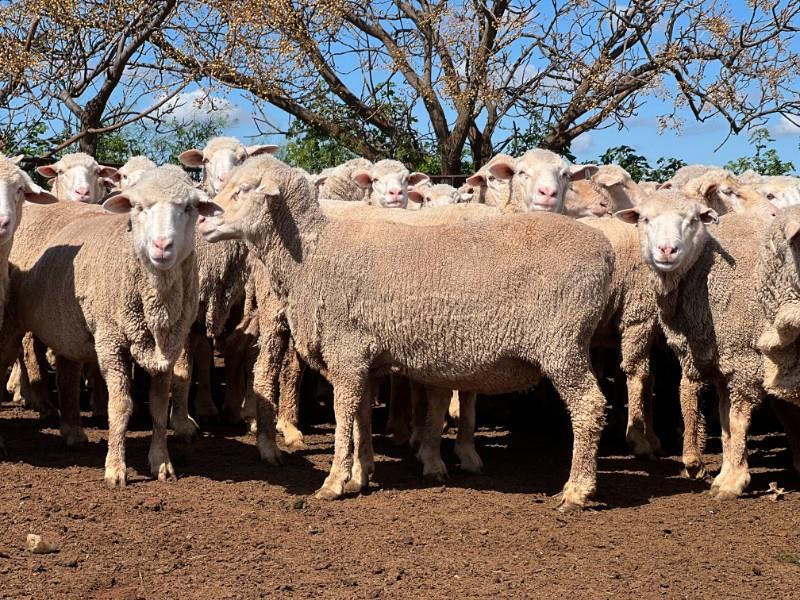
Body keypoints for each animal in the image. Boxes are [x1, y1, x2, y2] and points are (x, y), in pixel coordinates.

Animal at [0, 167, 222, 485]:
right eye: (138, 208)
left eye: (188, 208)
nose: (162, 246)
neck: (158, 302)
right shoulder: (111, 342)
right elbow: (121, 406)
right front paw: (116, 469)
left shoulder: (167, 348)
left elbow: (158, 406)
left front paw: (161, 462)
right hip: (13, 326)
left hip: (67, 326)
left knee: (67, 374)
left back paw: (73, 431)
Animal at [199, 156, 615, 511]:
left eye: (243, 190)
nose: (202, 223)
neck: (311, 253)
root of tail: (606, 251)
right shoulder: (366, 360)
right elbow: (361, 418)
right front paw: (361, 475)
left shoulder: (346, 352)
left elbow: (343, 414)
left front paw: (334, 482)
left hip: (562, 343)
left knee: (589, 406)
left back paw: (577, 490)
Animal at [616, 191, 768, 497]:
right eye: (645, 219)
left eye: (693, 220)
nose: (667, 249)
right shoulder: (720, 363)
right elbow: (725, 423)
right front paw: (724, 475)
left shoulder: (744, 358)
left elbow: (737, 419)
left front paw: (734, 482)